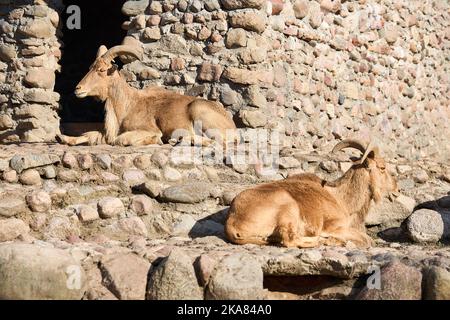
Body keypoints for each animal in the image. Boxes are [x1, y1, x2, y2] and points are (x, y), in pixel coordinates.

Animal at [57, 44, 236, 147]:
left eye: (101, 70)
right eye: (90, 67)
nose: (78, 88)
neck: (128, 104)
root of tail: (232, 125)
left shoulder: (148, 129)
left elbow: (120, 140)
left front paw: (155, 140)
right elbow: (90, 135)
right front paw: (63, 138)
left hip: (199, 112)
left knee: (217, 141)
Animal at [225, 139, 398, 248]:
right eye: (382, 168)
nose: (397, 189)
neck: (341, 199)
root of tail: (232, 221)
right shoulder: (335, 226)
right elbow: (366, 240)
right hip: (288, 206)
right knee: (289, 240)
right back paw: (323, 241)